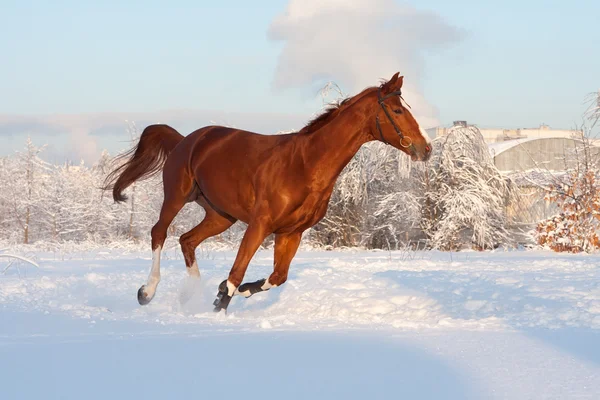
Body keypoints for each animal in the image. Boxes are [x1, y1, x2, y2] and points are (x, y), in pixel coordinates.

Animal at [103, 72, 432, 312]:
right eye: (398, 110)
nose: (426, 148)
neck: (304, 164)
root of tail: (187, 140)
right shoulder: (260, 225)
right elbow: (236, 274)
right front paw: (219, 305)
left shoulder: (291, 233)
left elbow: (275, 278)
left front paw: (222, 291)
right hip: (176, 196)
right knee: (159, 233)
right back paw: (147, 292)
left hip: (221, 216)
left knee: (187, 240)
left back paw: (192, 294)